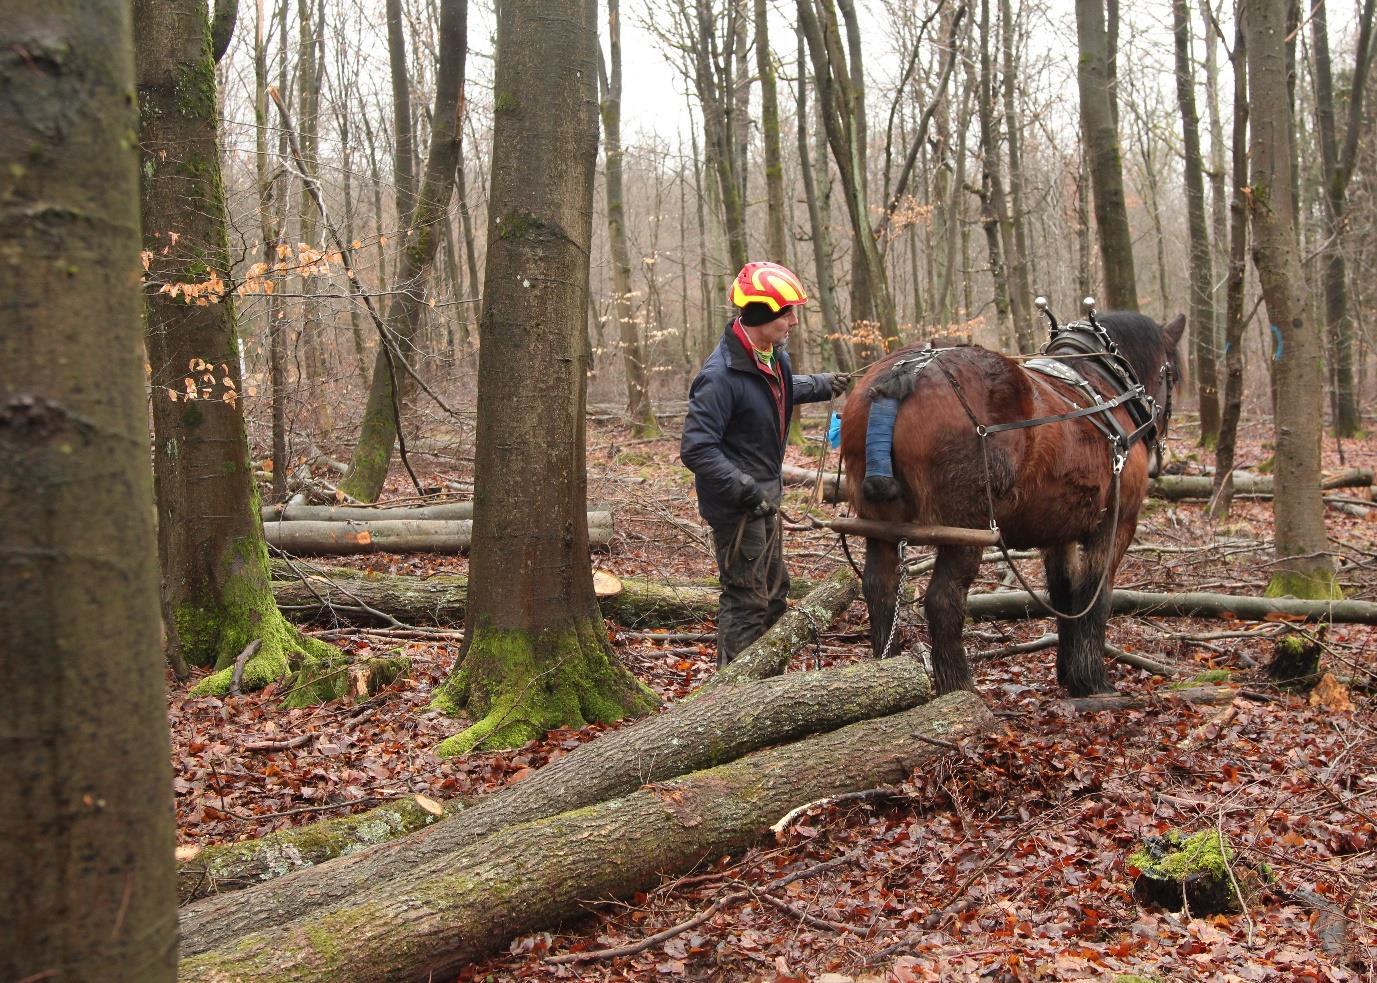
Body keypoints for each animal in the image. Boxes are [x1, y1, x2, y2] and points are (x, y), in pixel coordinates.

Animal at [838, 310, 1185, 697]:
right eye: (1171, 372)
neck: (1103, 387)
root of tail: (906, 371)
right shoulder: (1116, 524)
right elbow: (1095, 598)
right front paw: (1094, 679)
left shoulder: (1059, 531)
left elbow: (1064, 596)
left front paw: (1071, 674)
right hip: (965, 529)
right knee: (943, 601)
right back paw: (959, 687)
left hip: (880, 528)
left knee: (879, 592)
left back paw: (889, 677)